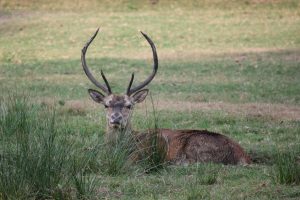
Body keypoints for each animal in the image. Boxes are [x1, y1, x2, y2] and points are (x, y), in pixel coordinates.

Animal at [81, 28, 251, 166]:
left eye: (129, 105)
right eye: (106, 104)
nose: (116, 118)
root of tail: (244, 156)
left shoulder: (144, 153)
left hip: (196, 146)